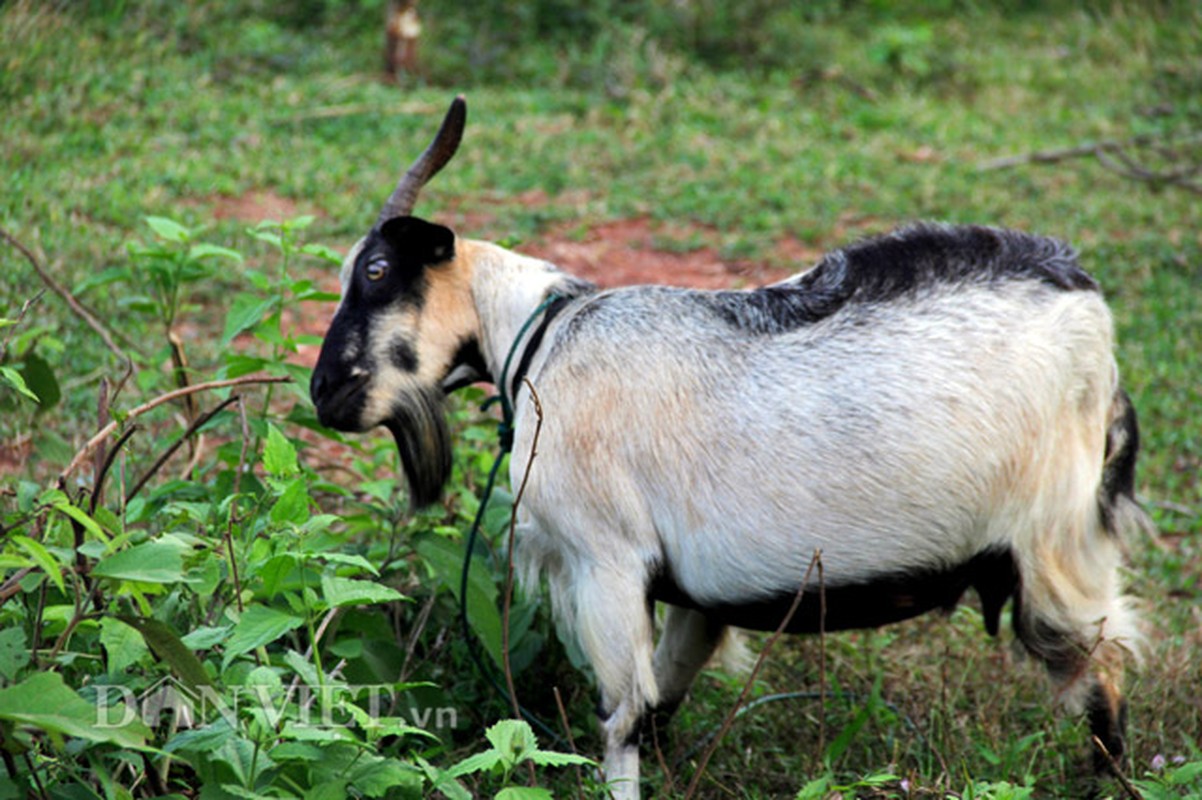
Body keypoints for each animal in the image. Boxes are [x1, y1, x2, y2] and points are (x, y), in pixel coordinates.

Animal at [310, 96, 1144, 792]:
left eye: (377, 270)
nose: (324, 394)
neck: (545, 340)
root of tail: (1092, 313)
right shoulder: (696, 591)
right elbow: (659, 704)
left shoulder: (607, 560)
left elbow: (621, 716)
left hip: (1054, 542)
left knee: (1102, 669)